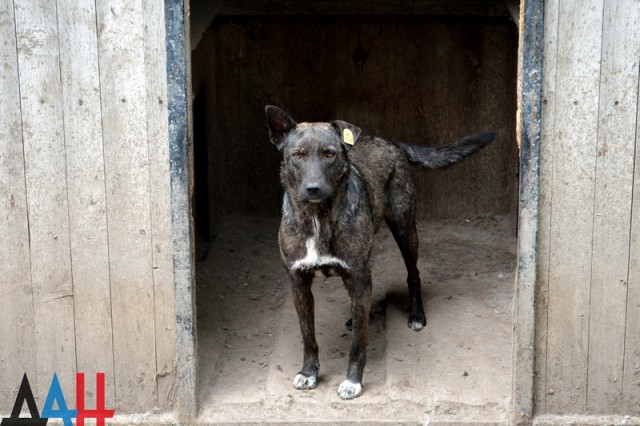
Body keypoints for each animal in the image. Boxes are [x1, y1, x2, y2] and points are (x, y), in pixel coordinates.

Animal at [264, 105, 496, 400]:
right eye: (297, 155)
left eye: (329, 154)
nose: (313, 188)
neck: (318, 217)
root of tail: (389, 141)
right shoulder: (299, 284)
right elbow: (308, 337)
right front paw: (308, 373)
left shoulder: (359, 276)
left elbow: (358, 344)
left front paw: (353, 381)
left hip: (405, 229)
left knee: (414, 274)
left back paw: (416, 315)